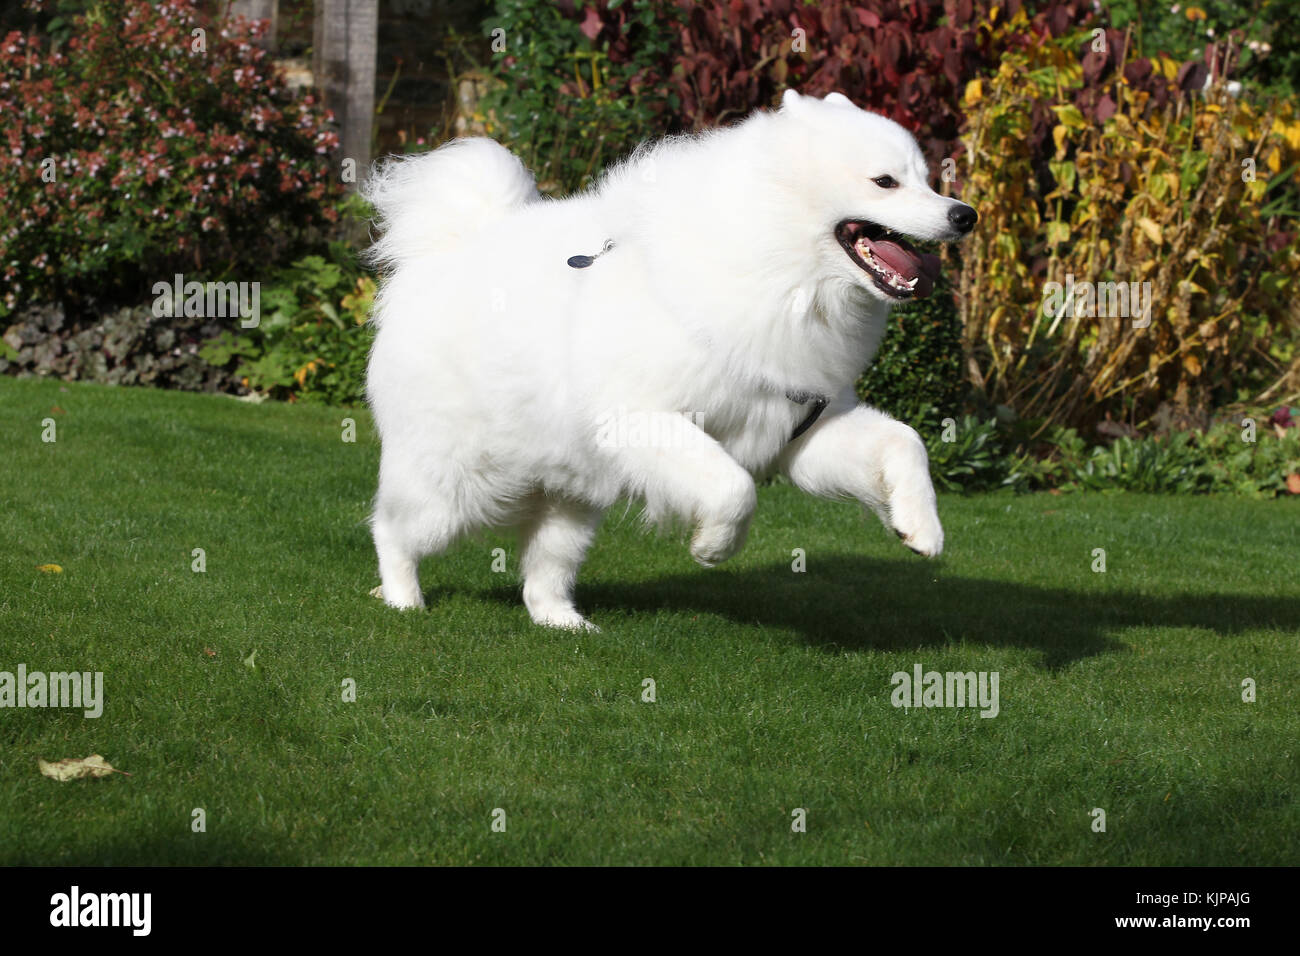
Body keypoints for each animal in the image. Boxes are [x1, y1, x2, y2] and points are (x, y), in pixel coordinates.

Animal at [364, 87, 977, 629]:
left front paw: (923, 527)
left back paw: (564, 623)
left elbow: (906, 441)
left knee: (543, 573)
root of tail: (439, 252)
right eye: (885, 182)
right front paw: (713, 547)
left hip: (569, 501)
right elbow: (735, 488)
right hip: (456, 488)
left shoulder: (802, 425)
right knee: (391, 531)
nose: (964, 214)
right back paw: (401, 600)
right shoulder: (646, 419)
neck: (780, 268)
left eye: (927, 179)